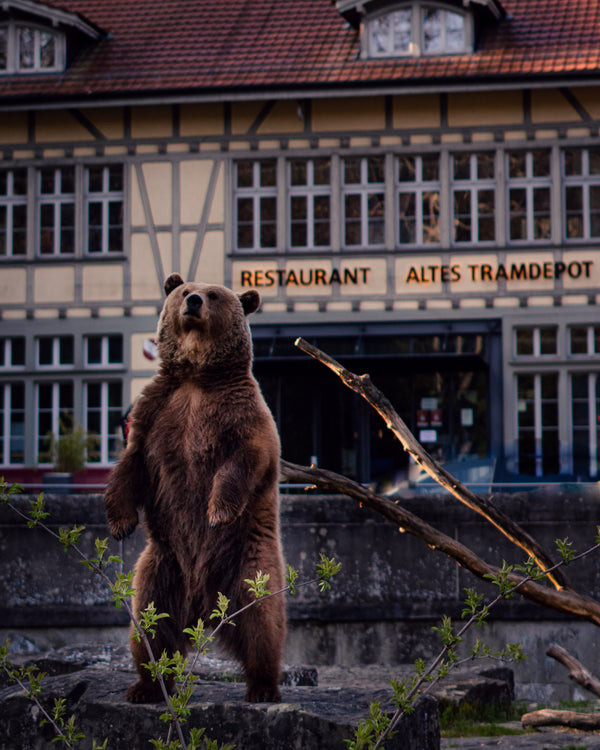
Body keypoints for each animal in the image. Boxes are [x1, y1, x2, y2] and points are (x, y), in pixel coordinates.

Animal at [103, 274, 286, 704]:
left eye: (215, 294)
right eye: (184, 290)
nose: (194, 301)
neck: (197, 377)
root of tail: (202, 605)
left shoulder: (242, 415)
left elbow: (243, 461)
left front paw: (217, 513)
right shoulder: (156, 413)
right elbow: (131, 466)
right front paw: (119, 523)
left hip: (248, 561)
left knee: (261, 620)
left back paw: (263, 686)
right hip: (161, 568)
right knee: (150, 627)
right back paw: (147, 685)